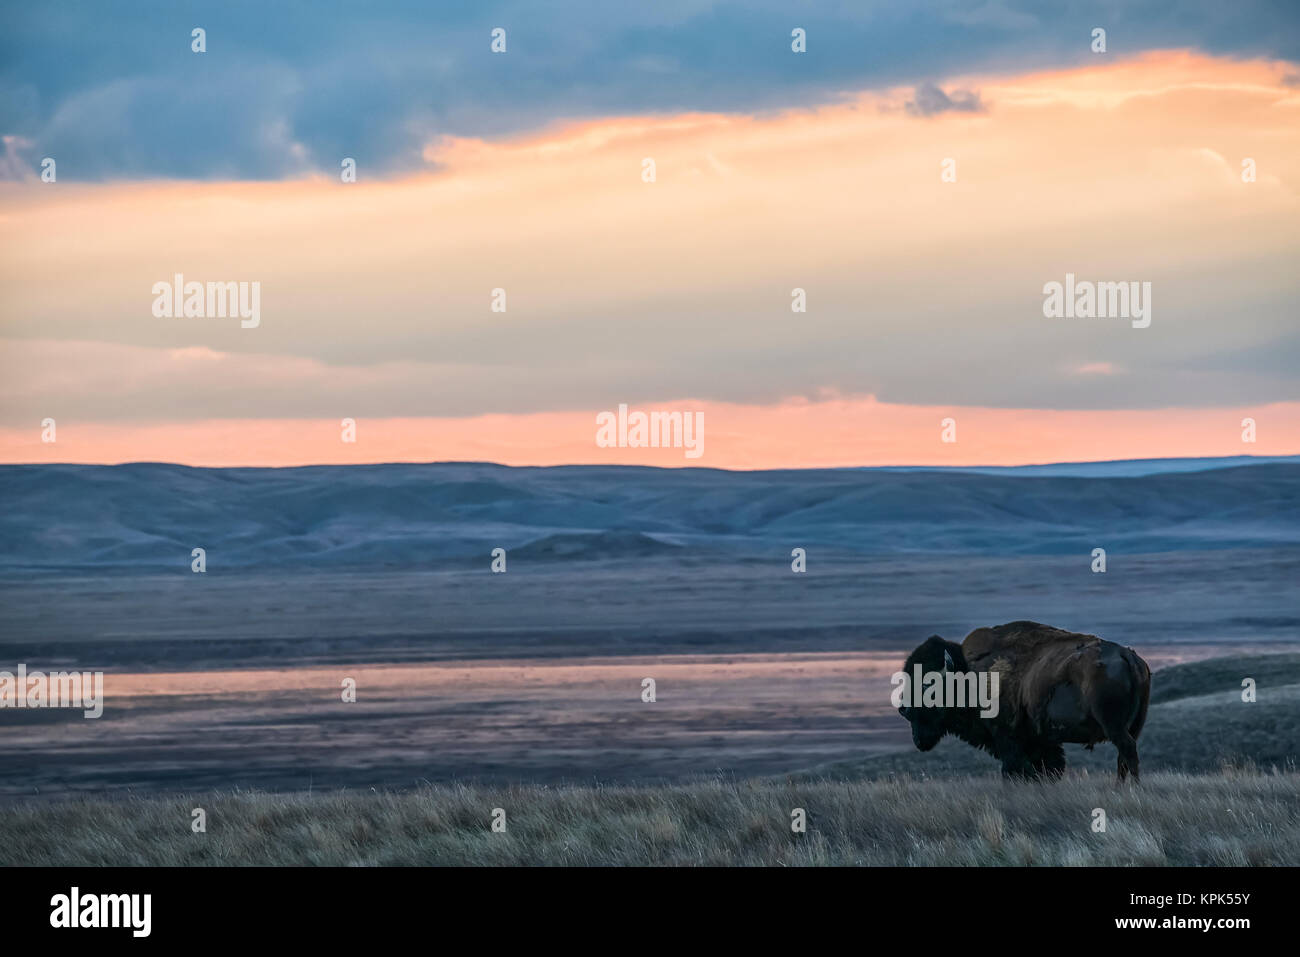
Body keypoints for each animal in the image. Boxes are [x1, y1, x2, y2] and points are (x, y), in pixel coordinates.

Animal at [899, 621, 1154, 785]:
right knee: (1124, 757)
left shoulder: (1008, 739)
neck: (967, 675)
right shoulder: (1041, 742)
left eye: (928, 686)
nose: (904, 709)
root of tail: (1128, 656)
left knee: (1127, 752)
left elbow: (1015, 770)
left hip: (1114, 726)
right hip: (1135, 725)